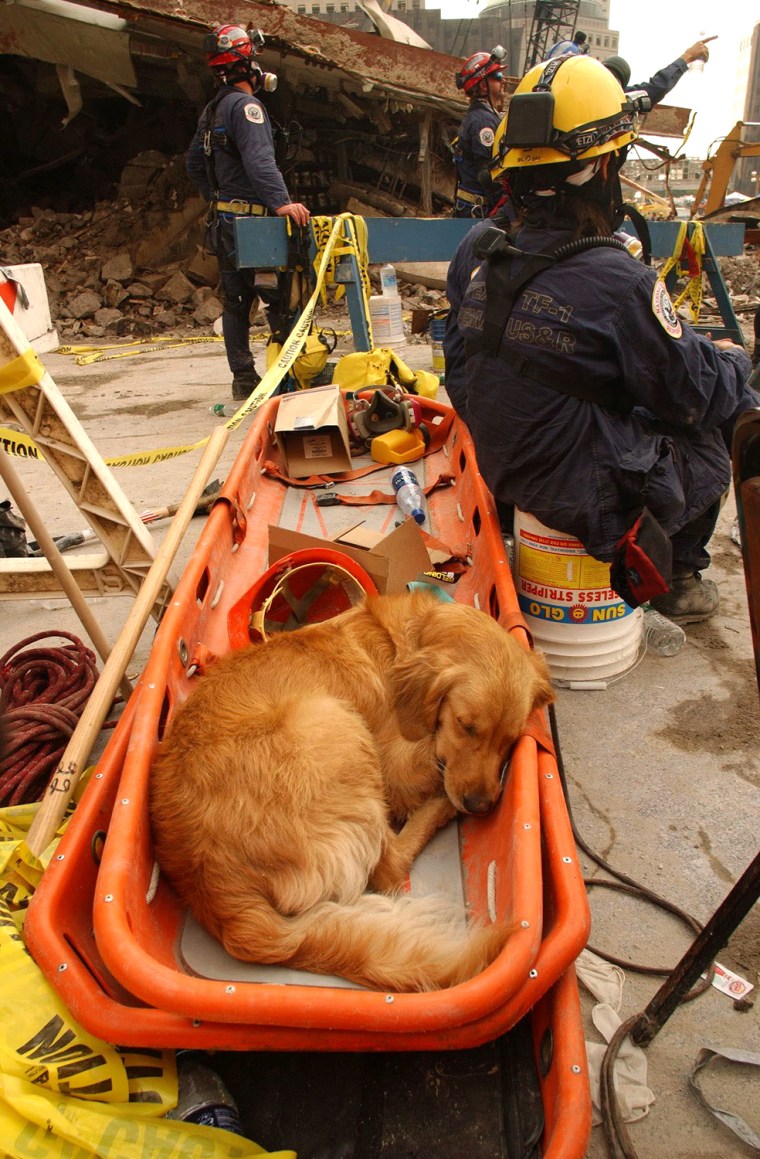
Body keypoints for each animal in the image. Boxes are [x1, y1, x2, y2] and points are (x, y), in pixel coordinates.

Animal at [149, 593, 551, 992]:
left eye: (511, 739)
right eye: (465, 726)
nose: (480, 806)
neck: (406, 641)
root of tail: (224, 903)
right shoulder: (399, 766)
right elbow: (433, 768)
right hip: (336, 722)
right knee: (391, 868)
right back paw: (440, 809)